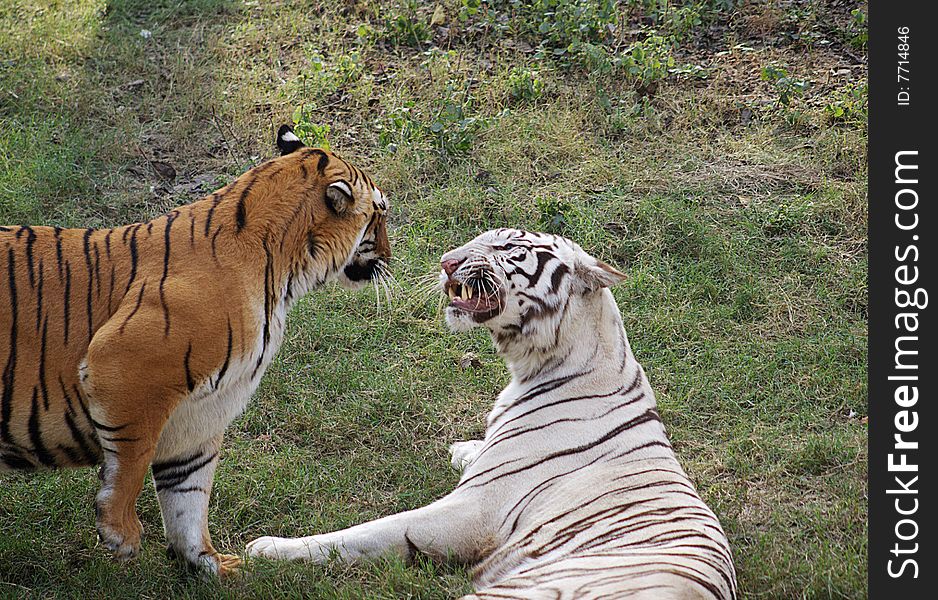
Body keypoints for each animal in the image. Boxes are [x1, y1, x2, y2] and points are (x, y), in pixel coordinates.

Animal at [0, 125, 388, 576]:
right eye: (379, 214)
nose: (389, 255)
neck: (285, 271)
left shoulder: (200, 414)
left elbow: (188, 494)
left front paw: (212, 565)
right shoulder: (123, 365)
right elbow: (132, 460)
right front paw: (121, 533)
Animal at [245, 227, 736, 596]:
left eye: (511, 250)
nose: (446, 261)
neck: (533, 365)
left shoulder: (470, 512)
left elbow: (364, 533)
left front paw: (268, 549)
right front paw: (462, 448)